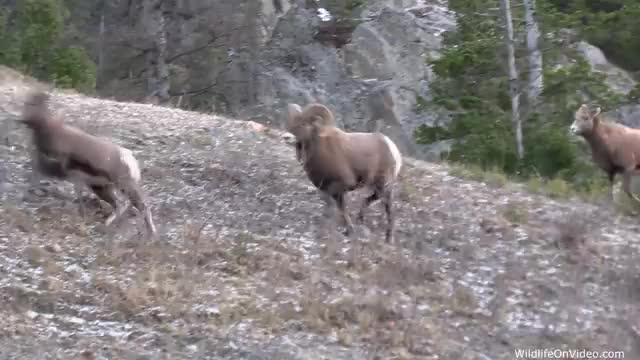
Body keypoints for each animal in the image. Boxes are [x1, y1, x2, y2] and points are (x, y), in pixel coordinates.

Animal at [19, 90, 158, 236]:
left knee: (139, 205)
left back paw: (149, 232)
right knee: (120, 204)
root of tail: (129, 157)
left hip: (124, 186)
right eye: (26, 103)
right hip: (101, 188)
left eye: (34, 105)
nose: (22, 120)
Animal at [288, 102, 402, 243]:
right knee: (371, 199)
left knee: (388, 207)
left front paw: (348, 230)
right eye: (292, 122)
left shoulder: (341, 187)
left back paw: (388, 238)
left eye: (303, 124)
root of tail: (392, 148)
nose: (286, 136)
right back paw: (361, 219)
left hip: (383, 185)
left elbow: (340, 207)